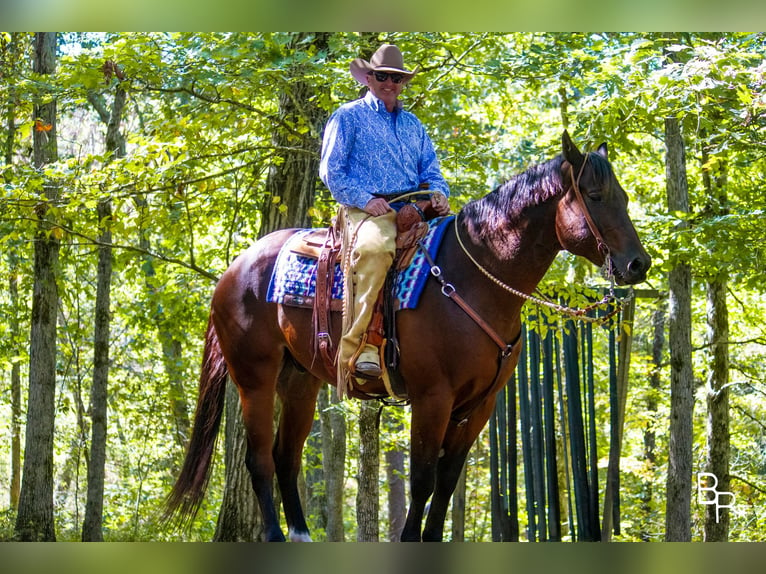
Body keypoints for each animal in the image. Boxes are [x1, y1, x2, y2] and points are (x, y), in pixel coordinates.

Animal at [168, 132, 656, 544]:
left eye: (625, 197)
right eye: (595, 196)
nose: (638, 264)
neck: (476, 279)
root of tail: (235, 269)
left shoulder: (478, 407)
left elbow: (446, 481)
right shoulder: (432, 397)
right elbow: (422, 480)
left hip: (300, 380)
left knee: (287, 457)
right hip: (255, 378)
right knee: (260, 459)